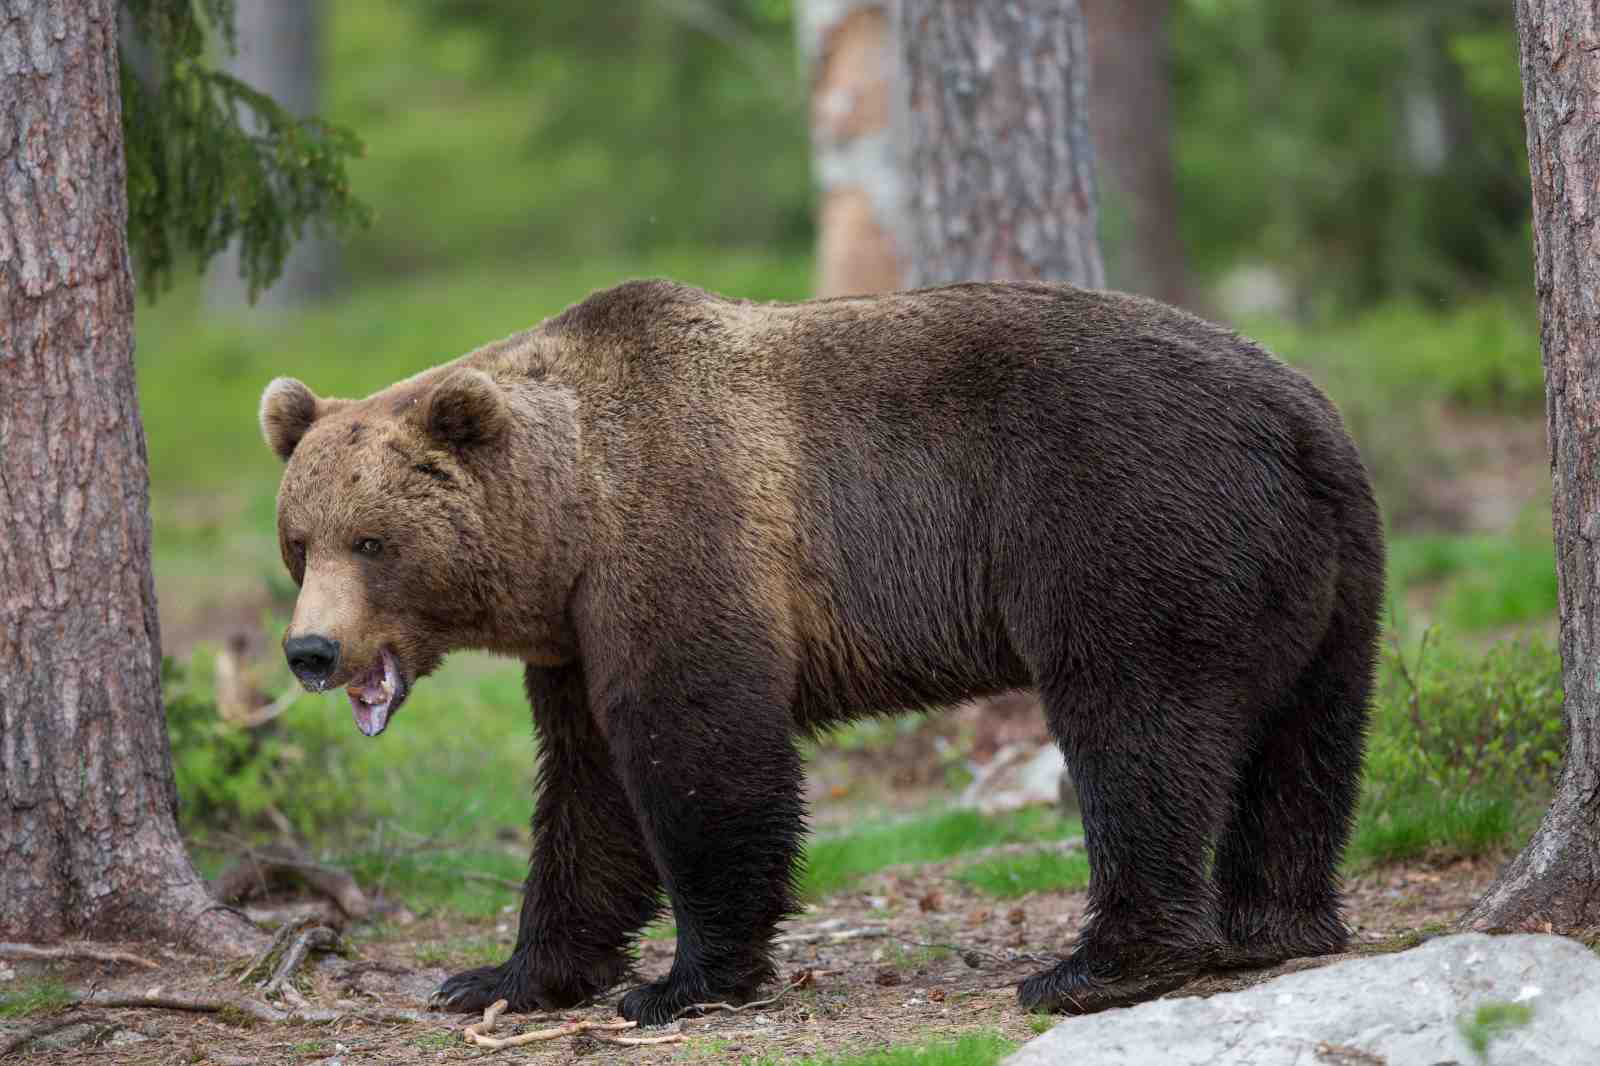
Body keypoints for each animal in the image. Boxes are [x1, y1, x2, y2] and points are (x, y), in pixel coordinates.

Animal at [259, 279, 1384, 1025]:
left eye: (373, 540)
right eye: (299, 539)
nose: (310, 649)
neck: (570, 517)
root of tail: (1303, 417)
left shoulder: (683, 541)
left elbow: (700, 755)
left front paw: (680, 980)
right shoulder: (578, 637)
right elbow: (587, 791)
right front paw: (500, 976)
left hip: (1129, 523)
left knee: (1136, 728)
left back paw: (1099, 963)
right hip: (1326, 575)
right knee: (1306, 741)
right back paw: (1275, 923)